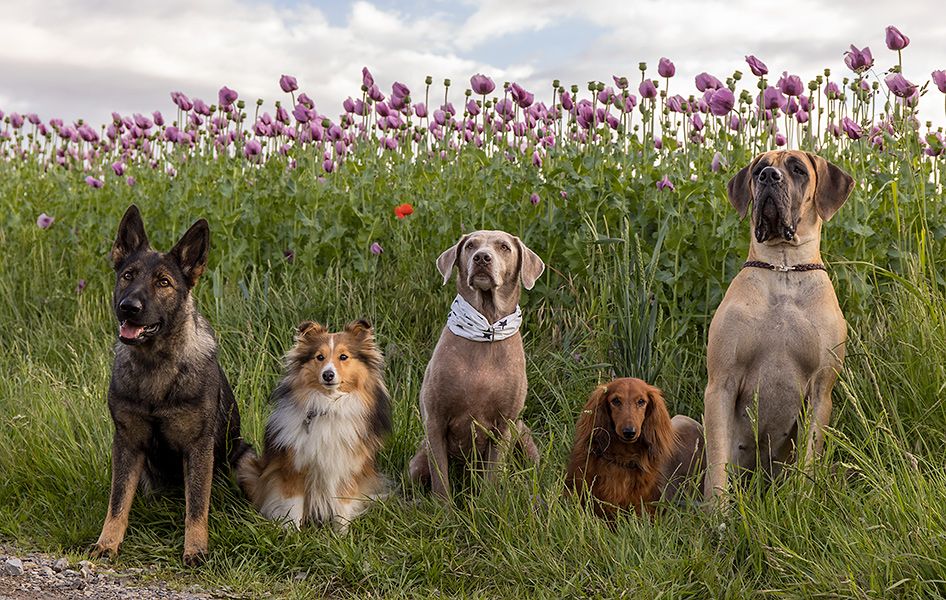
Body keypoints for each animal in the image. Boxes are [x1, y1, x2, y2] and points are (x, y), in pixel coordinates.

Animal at [91, 206, 253, 568]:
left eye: (163, 282)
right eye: (128, 275)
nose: (129, 307)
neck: (156, 368)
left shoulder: (198, 447)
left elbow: (197, 506)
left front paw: (195, 550)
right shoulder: (127, 443)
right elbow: (117, 502)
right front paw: (107, 543)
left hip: (244, 455)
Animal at [243, 318, 394, 528]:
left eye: (344, 356)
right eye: (319, 357)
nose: (328, 375)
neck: (329, 407)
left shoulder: (347, 471)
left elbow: (342, 510)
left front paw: (341, 535)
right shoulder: (293, 469)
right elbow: (293, 509)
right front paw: (291, 533)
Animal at [408, 230, 544, 502]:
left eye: (504, 247)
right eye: (471, 245)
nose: (482, 258)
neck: (486, 326)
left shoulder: (504, 425)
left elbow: (491, 476)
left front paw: (486, 505)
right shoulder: (434, 421)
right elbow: (440, 478)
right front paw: (444, 509)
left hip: (523, 434)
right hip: (417, 462)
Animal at [700, 148, 856, 508]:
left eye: (798, 169)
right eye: (758, 168)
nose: (769, 176)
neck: (784, 269)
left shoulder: (821, 390)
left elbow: (810, 456)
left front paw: (802, 502)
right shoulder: (720, 383)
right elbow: (718, 458)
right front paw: (718, 513)